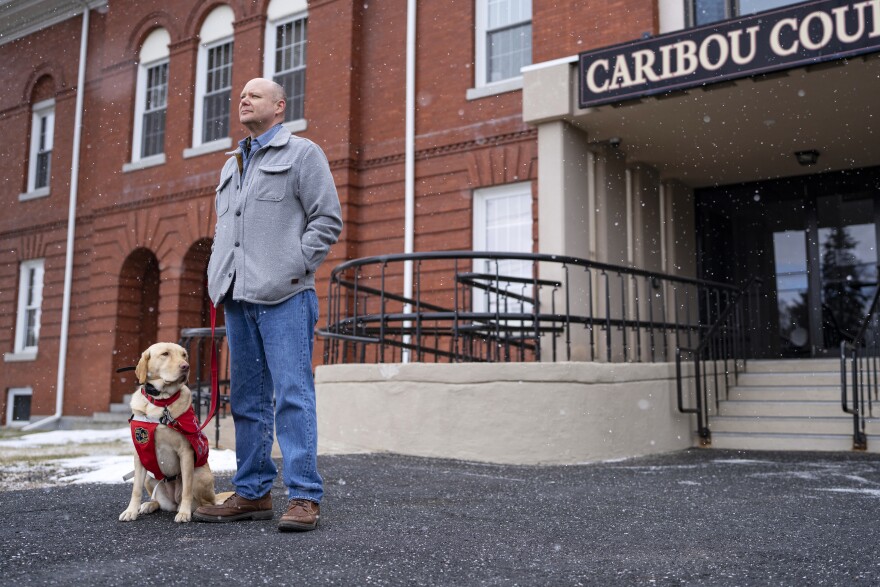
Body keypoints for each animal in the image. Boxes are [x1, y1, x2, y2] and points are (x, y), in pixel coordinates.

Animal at [118, 342, 217, 524]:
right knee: (159, 501)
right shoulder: (139, 455)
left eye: (184, 355)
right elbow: (135, 489)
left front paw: (184, 513)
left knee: (204, 501)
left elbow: (186, 489)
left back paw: (195, 509)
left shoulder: (186, 453)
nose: (186, 366)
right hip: (150, 478)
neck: (161, 401)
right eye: (165, 354)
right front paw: (131, 511)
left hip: (200, 474)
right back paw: (149, 505)